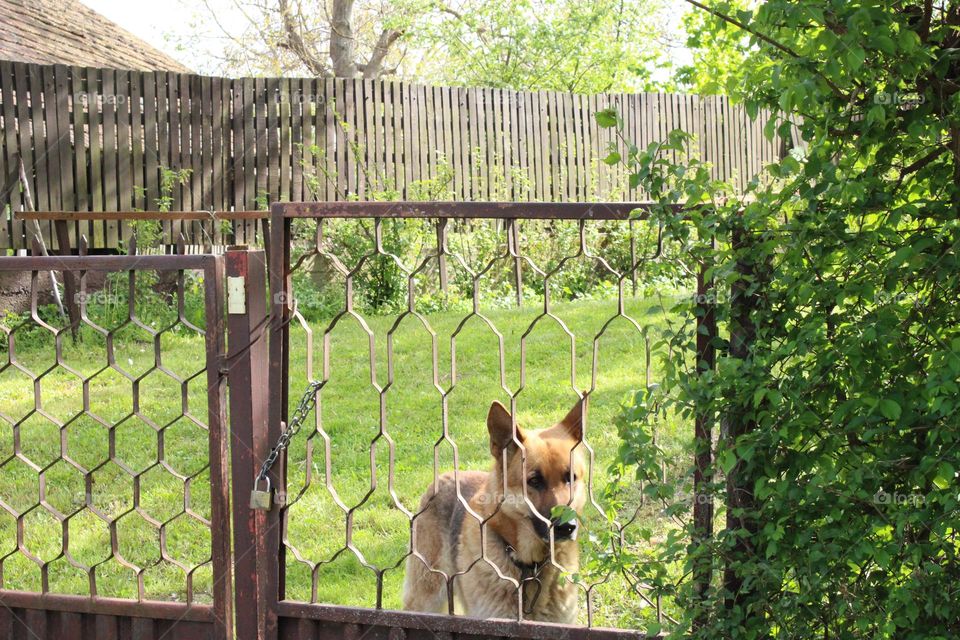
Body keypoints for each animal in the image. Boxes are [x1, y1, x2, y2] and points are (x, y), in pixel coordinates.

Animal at [400, 400, 584, 620]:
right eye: (534, 481)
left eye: (570, 478)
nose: (567, 527)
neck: (530, 567)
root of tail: (445, 476)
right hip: (426, 598)